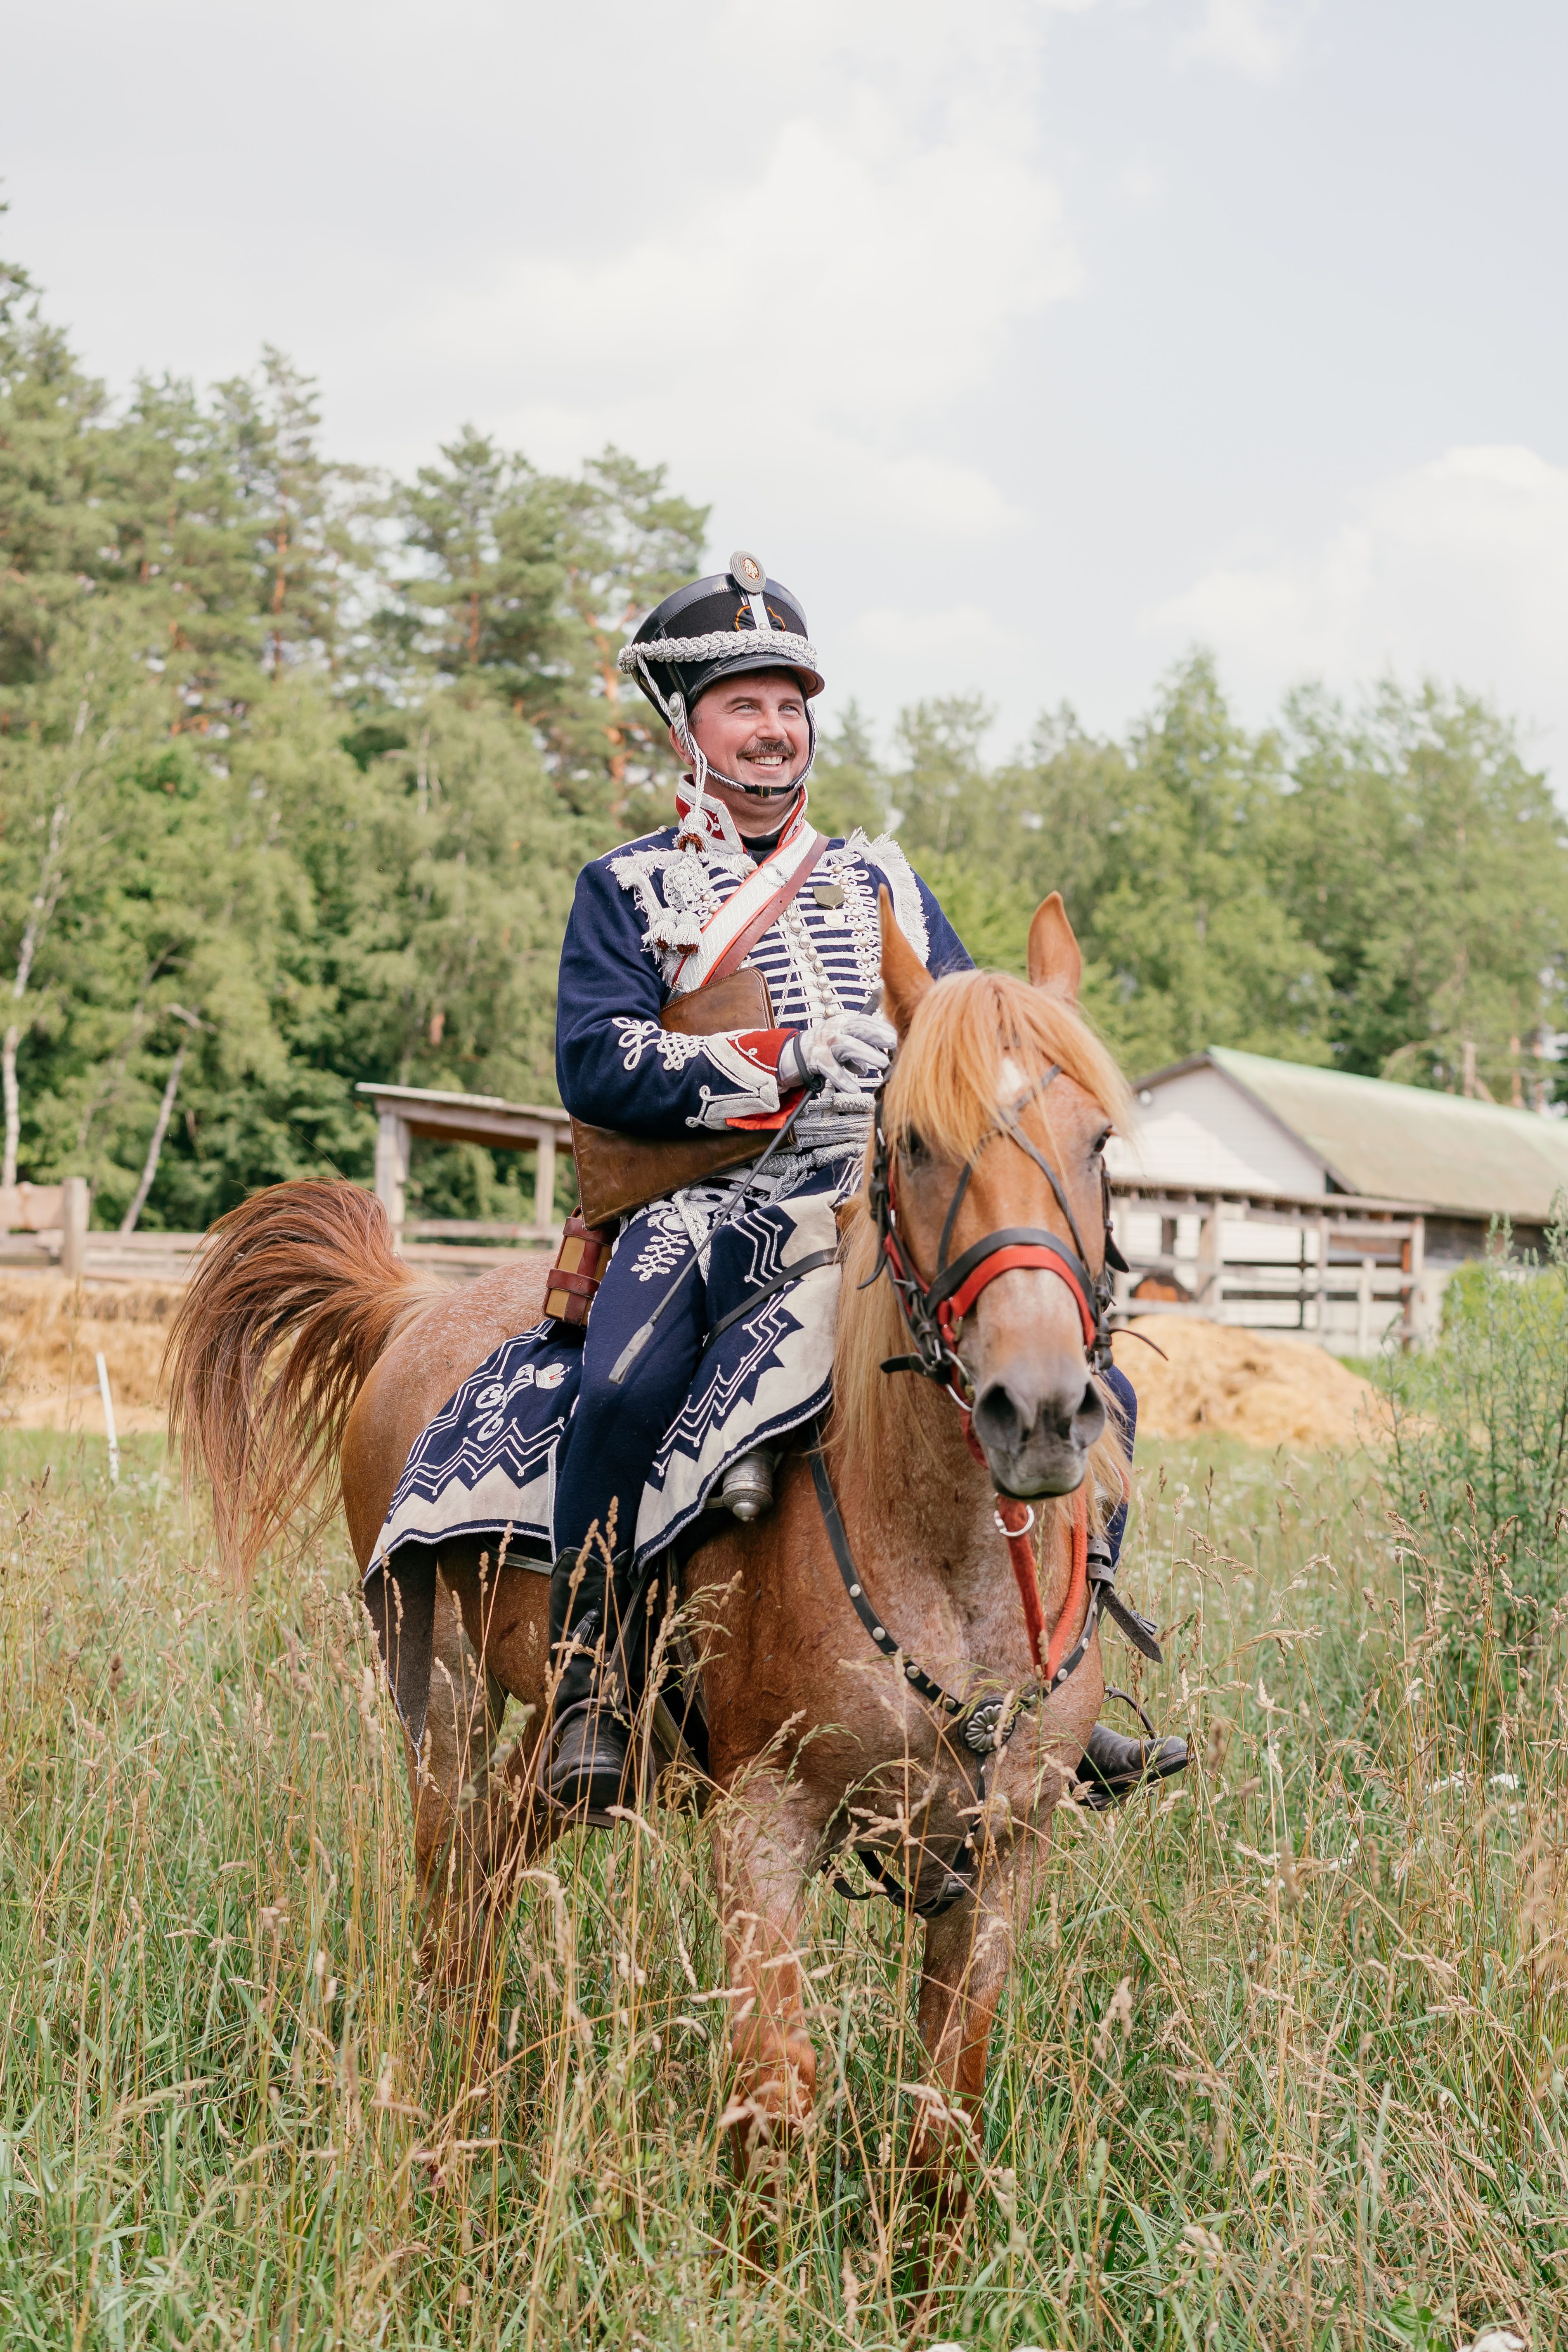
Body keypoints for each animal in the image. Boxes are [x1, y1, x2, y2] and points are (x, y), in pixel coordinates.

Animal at [165, 889, 1133, 2214]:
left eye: (1096, 1142)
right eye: (914, 1143)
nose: (1034, 1408)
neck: (945, 1565)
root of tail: (414, 1306)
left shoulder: (1004, 1854)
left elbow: (942, 2129)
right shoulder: (761, 1824)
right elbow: (774, 2105)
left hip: (570, 1743)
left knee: (494, 1864)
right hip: (442, 1696)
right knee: (448, 1891)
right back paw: (449, 2130)